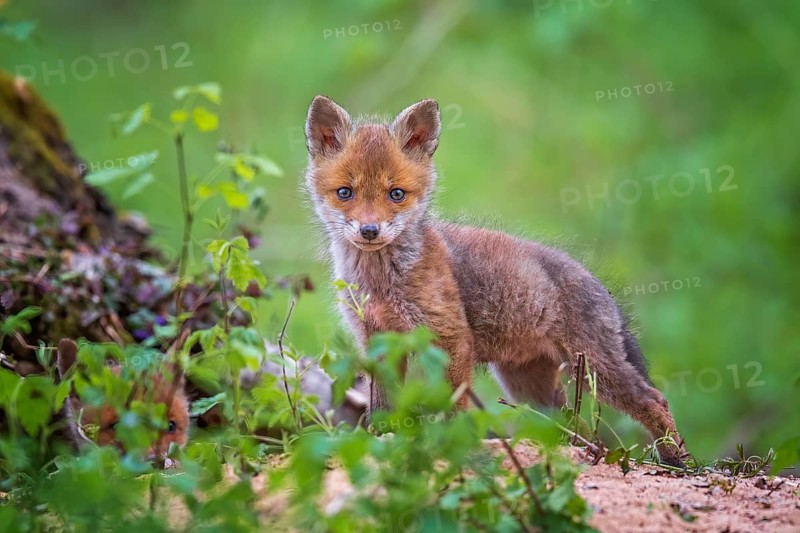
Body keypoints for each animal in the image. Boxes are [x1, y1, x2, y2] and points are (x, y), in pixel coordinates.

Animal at [303, 95, 686, 467]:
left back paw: (675, 461)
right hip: (529, 386)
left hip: (595, 370)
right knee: (569, 425)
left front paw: (452, 444)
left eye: (396, 194)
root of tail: (599, 284)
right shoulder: (378, 340)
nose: (369, 230)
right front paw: (381, 437)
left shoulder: (452, 338)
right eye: (345, 192)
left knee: (654, 399)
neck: (382, 283)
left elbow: (454, 404)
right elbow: (382, 405)